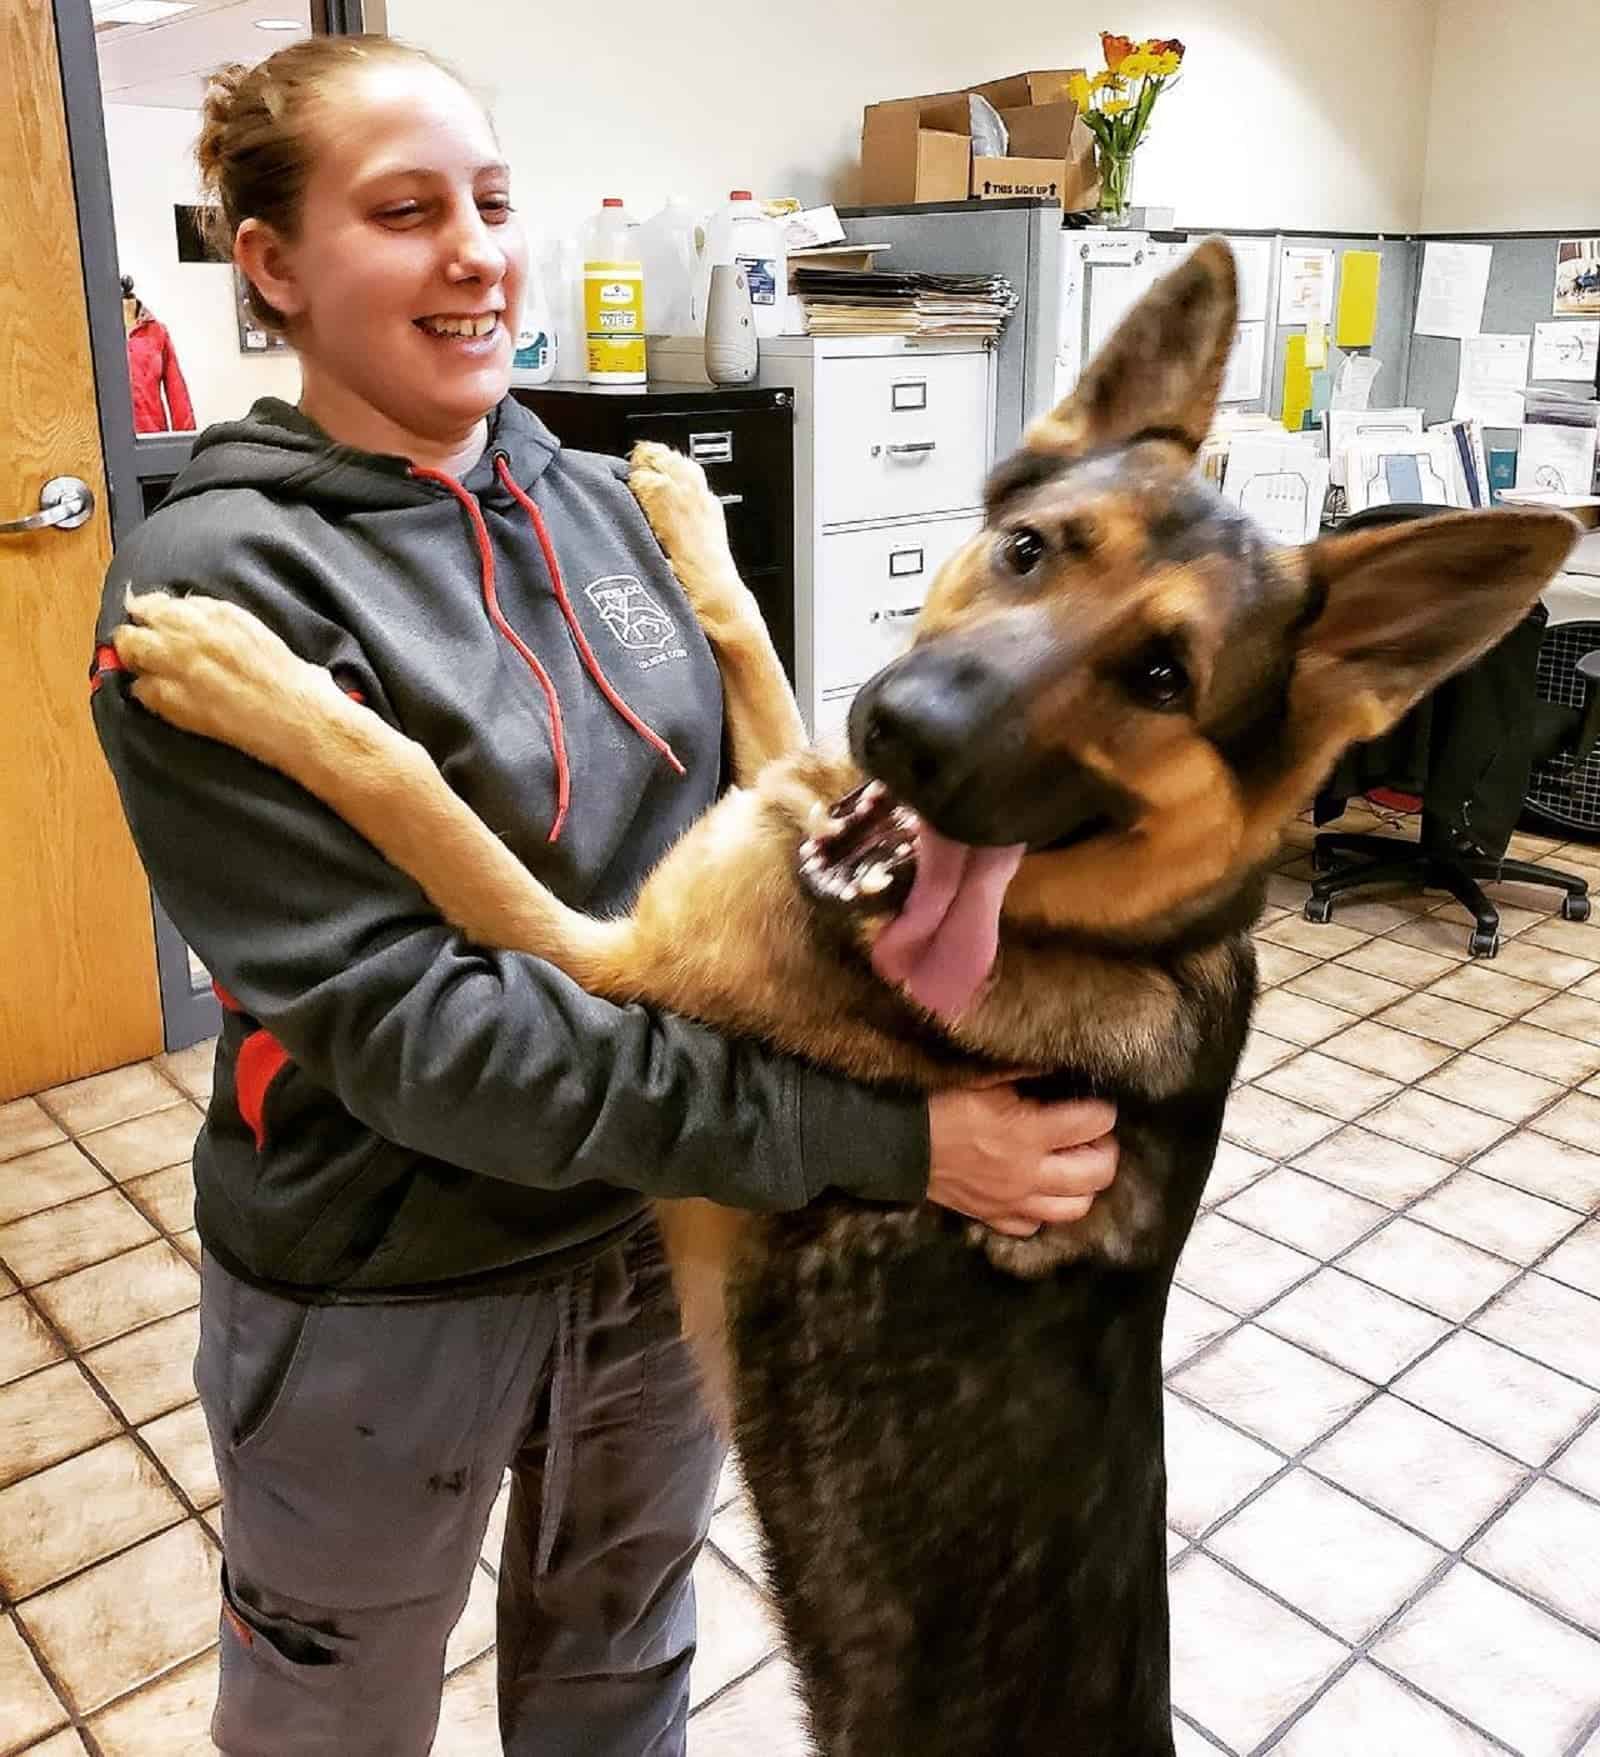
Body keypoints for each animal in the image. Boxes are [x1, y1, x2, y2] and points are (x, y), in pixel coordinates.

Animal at [115, 244, 1573, 1757]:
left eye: (1164, 676)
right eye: (1030, 549)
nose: (907, 732)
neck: (1101, 934)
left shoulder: (591, 947)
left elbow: (408, 782)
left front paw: (245, 676)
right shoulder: (785, 781)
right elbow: (759, 647)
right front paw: (686, 509)